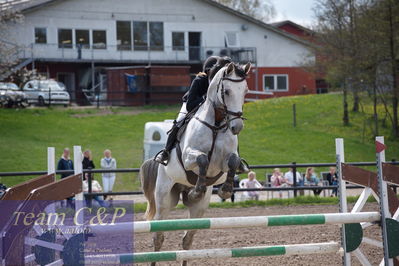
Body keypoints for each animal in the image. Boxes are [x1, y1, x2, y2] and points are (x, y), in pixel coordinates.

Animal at [140, 61, 250, 264]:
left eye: (245, 91)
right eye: (227, 91)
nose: (237, 127)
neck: (217, 123)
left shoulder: (222, 164)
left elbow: (233, 161)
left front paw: (225, 190)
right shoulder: (189, 157)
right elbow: (202, 159)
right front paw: (198, 190)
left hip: (199, 210)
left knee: (187, 240)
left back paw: (192, 195)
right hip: (164, 199)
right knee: (158, 237)